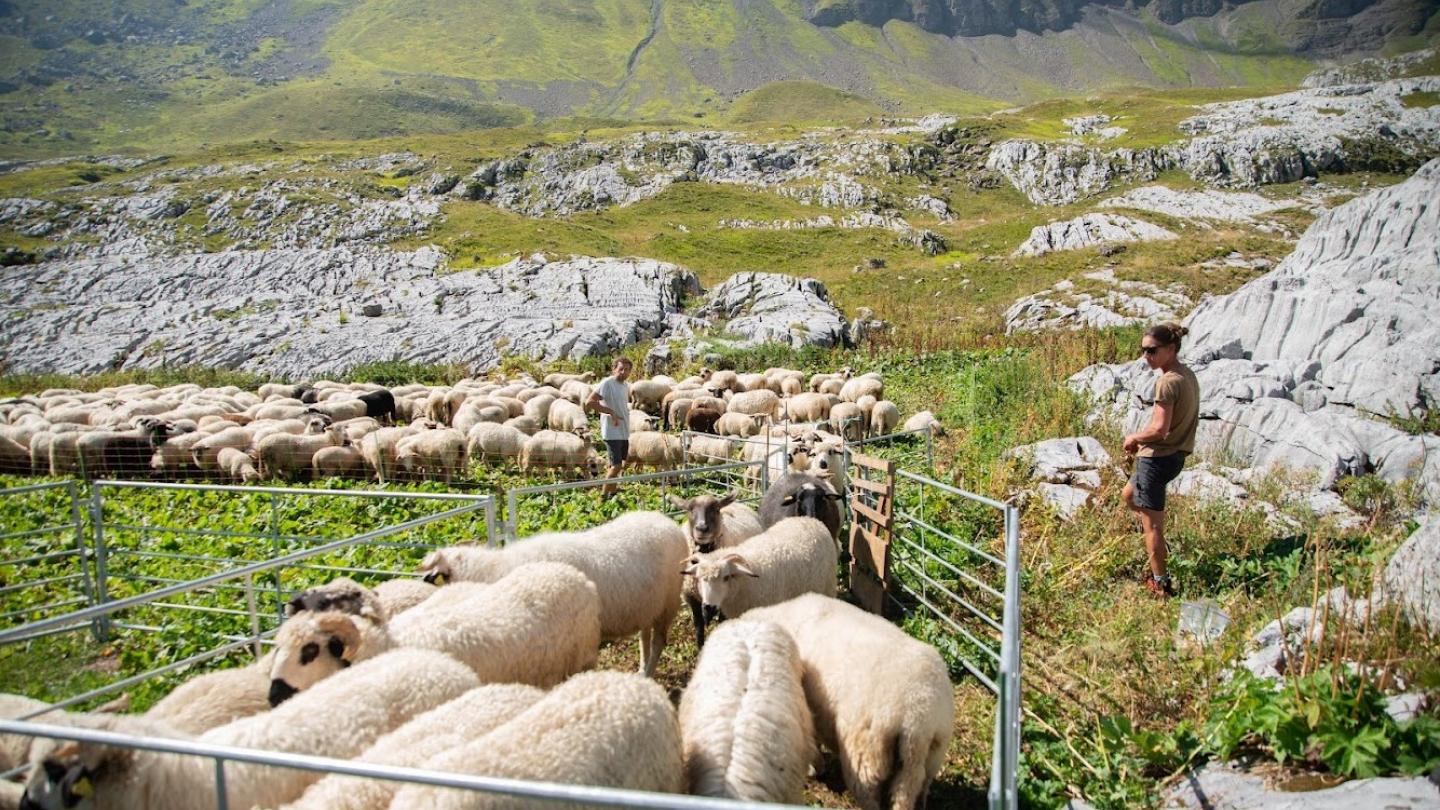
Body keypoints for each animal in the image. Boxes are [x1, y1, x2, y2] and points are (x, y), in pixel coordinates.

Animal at [418, 511, 688, 675]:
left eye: (440, 577)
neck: (497, 571)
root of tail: (667, 521)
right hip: (648, 604)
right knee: (644, 635)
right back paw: (642, 668)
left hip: (668, 601)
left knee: (659, 641)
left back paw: (649, 672)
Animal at [746, 594, 954, 810]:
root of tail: (916, 715)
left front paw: (816, 766)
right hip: (929, 756)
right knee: (914, 787)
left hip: (866, 756)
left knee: (870, 794)